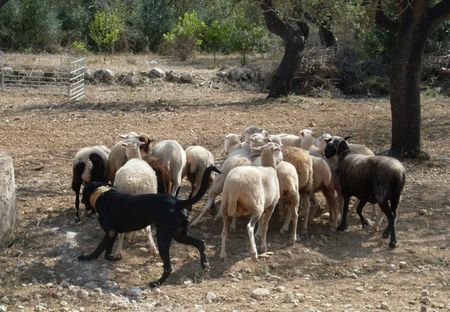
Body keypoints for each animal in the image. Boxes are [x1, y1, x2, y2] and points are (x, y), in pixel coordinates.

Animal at [80, 166, 222, 288]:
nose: (81, 200)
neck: (102, 195)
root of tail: (177, 202)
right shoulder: (112, 233)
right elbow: (107, 251)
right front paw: (113, 258)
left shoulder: (110, 232)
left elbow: (99, 248)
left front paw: (87, 257)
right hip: (180, 234)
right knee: (201, 243)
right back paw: (205, 264)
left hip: (163, 238)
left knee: (168, 267)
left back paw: (157, 283)